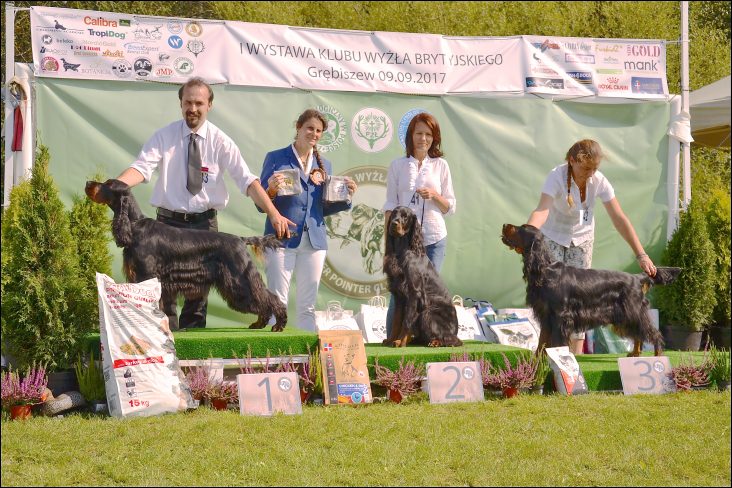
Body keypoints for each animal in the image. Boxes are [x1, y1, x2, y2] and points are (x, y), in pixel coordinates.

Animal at [87, 179, 288, 332]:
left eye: (108, 184)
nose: (89, 183)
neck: (134, 226)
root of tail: (240, 239)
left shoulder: (147, 274)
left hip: (239, 280)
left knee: (268, 297)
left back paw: (278, 324)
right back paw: (260, 323)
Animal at [380, 206, 460, 346]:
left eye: (405, 216)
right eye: (394, 213)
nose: (394, 223)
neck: (402, 251)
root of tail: (454, 331)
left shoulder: (414, 293)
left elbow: (407, 321)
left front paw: (400, 341)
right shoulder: (399, 295)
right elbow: (396, 321)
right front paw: (391, 339)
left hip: (428, 312)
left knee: (452, 339)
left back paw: (436, 342)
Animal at [504, 223, 680, 356]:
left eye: (521, 228)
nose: (505, 225)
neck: (546, 269)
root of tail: (637, 278)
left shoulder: (561, 316)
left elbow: (557, 342)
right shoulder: (547, 316)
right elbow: (542, 342)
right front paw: (539, 361)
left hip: (633, 312)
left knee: (654, 334)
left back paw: (658, 356)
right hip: (625, 317)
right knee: (639, 335)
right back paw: (635, 354)